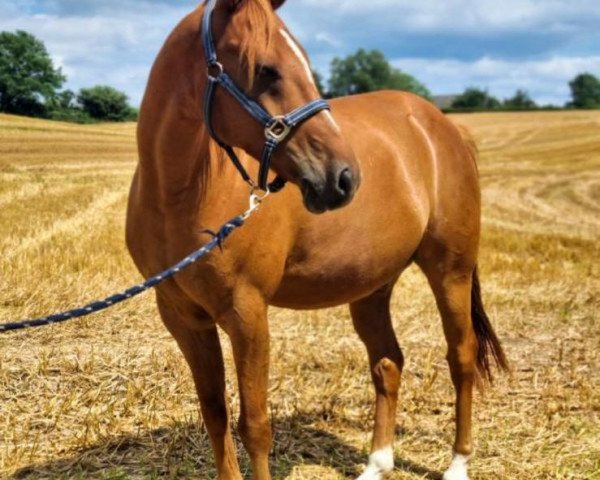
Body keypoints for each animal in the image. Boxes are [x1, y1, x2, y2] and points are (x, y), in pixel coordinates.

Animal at [125, 0, 506, 480]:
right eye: (266, 70)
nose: (343, 177)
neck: (179, 198)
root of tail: (443, 128)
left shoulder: (247, 313)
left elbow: (255, 425)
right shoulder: (183, 317)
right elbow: (215, 415)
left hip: (450, 271)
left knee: (461, 358)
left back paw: (458, 463)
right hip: (373, 285)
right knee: (388, 362)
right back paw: (377, 463)